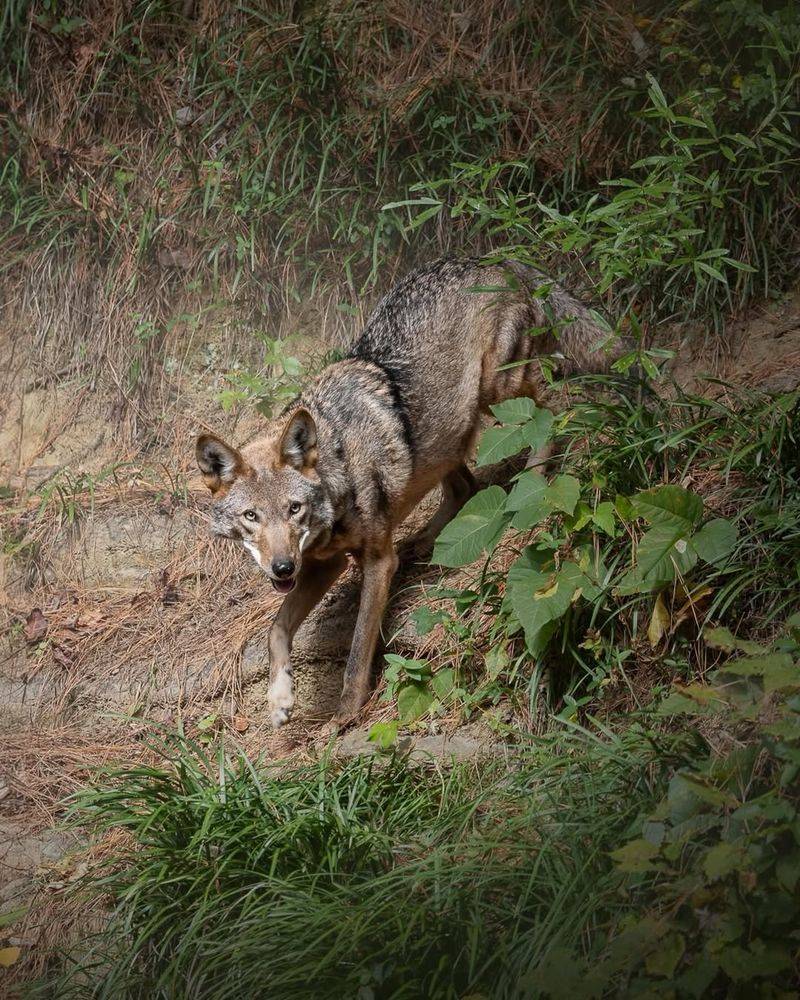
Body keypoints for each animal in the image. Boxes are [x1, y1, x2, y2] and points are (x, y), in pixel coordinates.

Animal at [197, 258, 608, 728]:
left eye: (294, 509)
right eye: (252, 517)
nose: (282, 568)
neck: (339, 467)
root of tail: (497, 258)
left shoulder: (375, 563)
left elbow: (358, 651)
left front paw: (346, 714)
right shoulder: (325, 564)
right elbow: (276, 629)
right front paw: (279, 699)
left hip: (497, 390)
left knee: (554, 404)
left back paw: (536, 477)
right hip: (445, 434)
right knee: (466, 486)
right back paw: (424, 541)